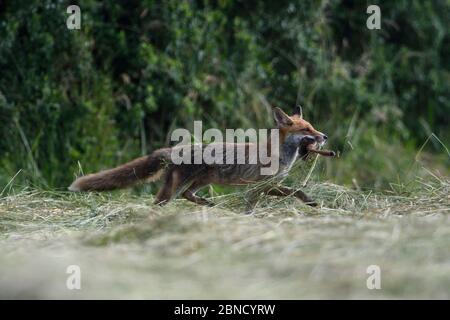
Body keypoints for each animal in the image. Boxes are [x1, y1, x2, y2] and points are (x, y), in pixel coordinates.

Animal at [67, 106, 334, 209]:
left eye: (313, 126)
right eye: (306, 129)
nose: (324, 136)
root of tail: (174, 149)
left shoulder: (265, 186)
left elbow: (287, 194)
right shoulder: (263, 185)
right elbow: (292, 192)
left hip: (201, 181)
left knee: (187, 195)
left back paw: (206, 204)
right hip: (177, 188)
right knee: (162, 202)